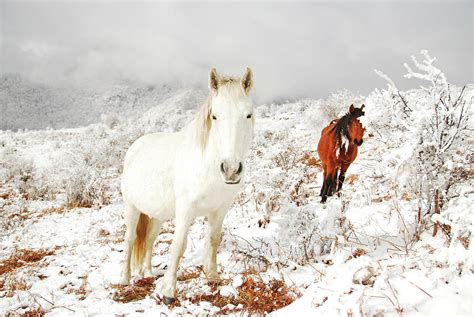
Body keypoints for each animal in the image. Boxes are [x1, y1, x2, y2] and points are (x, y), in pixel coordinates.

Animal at [120, 67, 256, 302]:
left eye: (248, 115)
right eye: (214, 115)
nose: (230, 169)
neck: (207, 164)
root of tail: (136, 146)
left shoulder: (220, 209)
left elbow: (213, 240)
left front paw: (213, 277)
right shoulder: (185, 209)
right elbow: (178, 245)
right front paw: (168, 291)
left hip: (157, 214)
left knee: (149, 239)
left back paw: (147, 273)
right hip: (132, 207)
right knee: (129, 239)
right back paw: (124, 279)